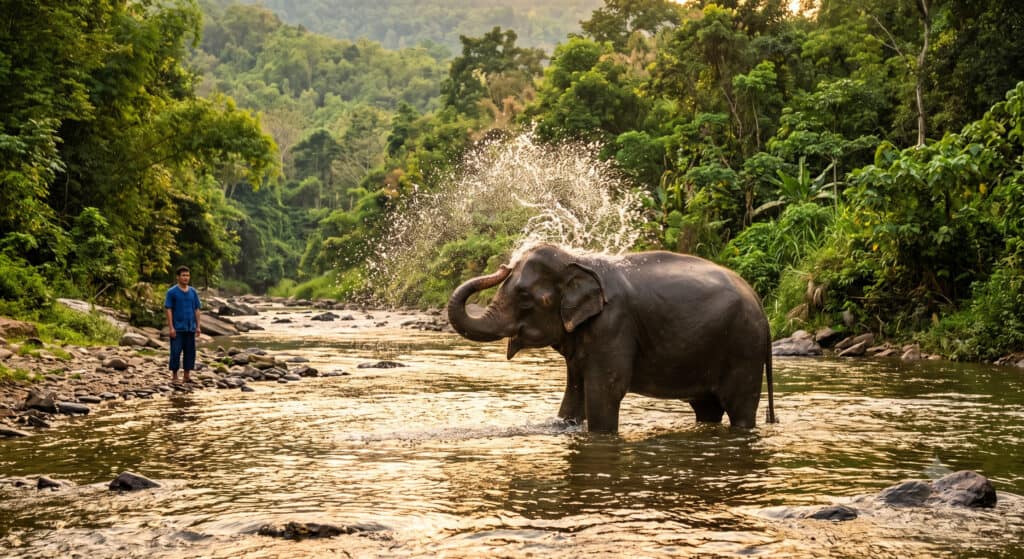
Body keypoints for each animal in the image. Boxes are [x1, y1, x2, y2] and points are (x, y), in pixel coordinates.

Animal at [447, 243, 776, 433]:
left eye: (525, 297)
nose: (502, 267)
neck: (579, 261)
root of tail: (760, 304)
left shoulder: (613, 326)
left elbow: (604, 391)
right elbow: (575, 392)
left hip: (744, 349)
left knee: (740, 407)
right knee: (707, 408)